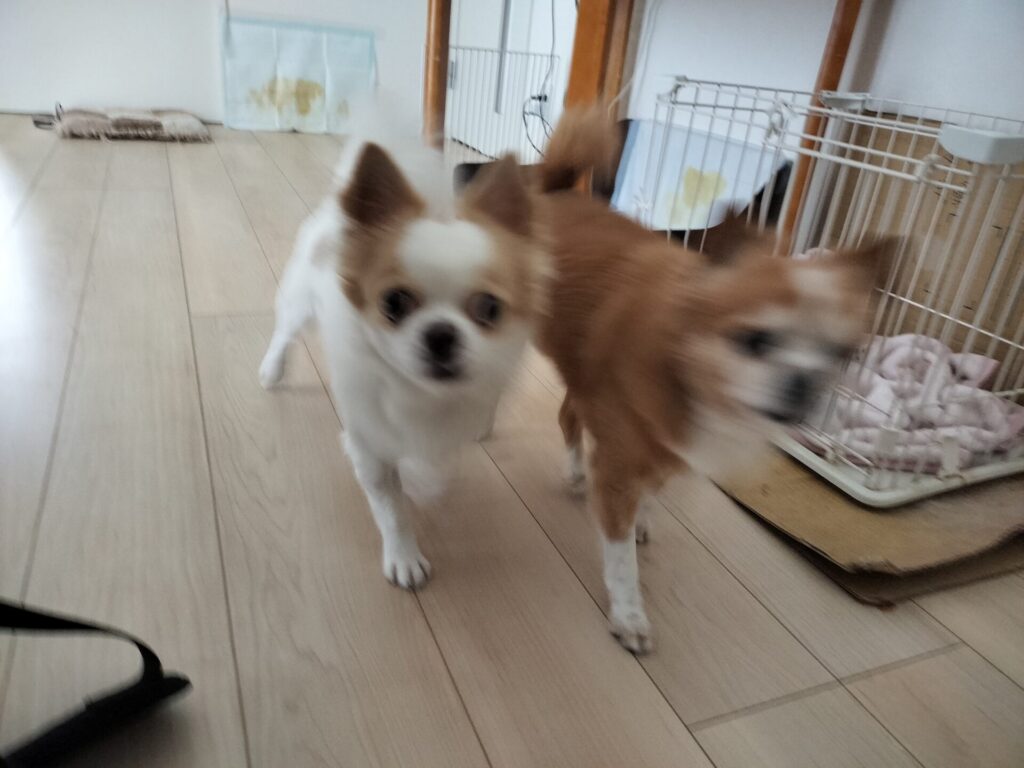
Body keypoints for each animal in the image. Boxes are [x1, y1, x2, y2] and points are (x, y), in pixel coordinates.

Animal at [259, 110, 548, 589]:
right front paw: (404, 556)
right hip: (299, 301)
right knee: (284, 332)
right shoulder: (370, 445)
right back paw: (272, 369)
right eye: (393, 303)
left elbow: (435, 460)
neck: (425, 397)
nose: (441, 333)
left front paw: (427, 477)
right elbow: (391, 506)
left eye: (490, 308)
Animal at [533, 108, 892, 653]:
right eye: (755, 340)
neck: (686, 370)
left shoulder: (665, 451)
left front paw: (643, 519)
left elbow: (648, 495)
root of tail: (558, 192)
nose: (804, 382)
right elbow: (621, 560)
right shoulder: (620, 467)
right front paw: (630, 615)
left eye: (841, 355)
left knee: (570, 411)